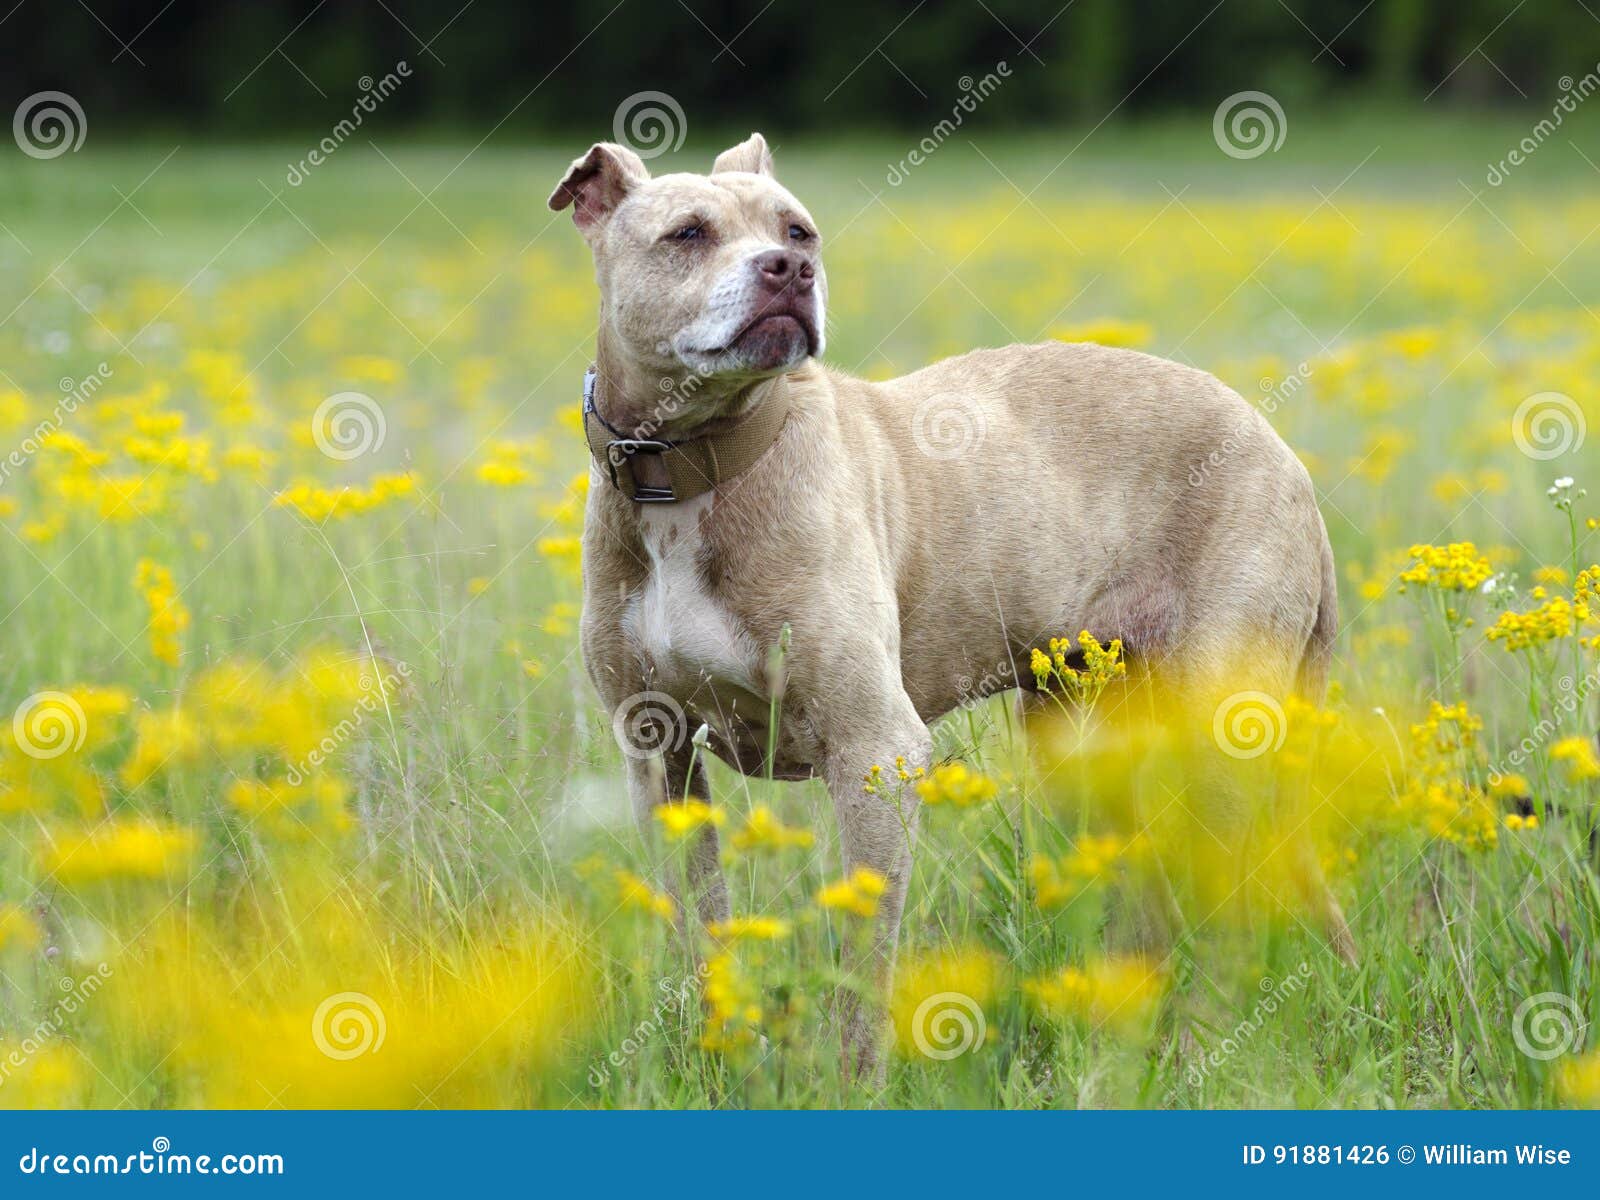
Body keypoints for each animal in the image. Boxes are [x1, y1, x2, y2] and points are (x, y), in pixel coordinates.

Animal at [550, 133, 1350, 1081]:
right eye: (688, 233)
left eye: (798, 230)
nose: (789, 270)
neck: (690, 466)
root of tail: (1287, 457)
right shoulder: (658, 753)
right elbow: (698, 929)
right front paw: (714, 1061)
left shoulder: (875, 749)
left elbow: (865, 959)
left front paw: (853, 1086)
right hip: (1086, 734)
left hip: (1218, 735)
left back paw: (1201, 1050)